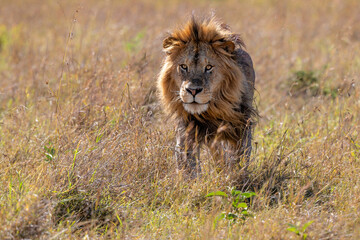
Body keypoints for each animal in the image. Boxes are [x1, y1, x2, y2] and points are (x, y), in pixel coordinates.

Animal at [159, 15, 258, 176]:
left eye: (208, 67)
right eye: (184, 66)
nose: (193, 91)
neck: (210, 111)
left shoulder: (241, 123)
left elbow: (239, 154)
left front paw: (234, 175)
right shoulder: (186, 128)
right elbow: (186, 159)